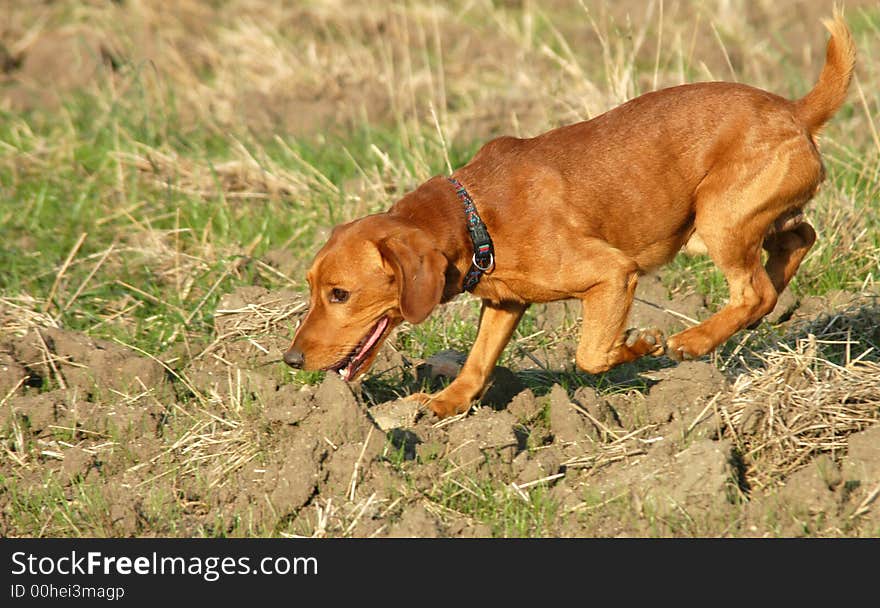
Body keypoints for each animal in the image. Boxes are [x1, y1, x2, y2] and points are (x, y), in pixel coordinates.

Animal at [286, 16, 856, 420]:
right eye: (312, 288)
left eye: (340, 294)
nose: (291, 361)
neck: (475, 217)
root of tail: (796, 110)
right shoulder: (505, 303)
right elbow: (478, 361)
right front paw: (446, 403)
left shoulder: (613, 274)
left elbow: (591, 354)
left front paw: (641, 345)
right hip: (742, 217)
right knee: (795, 245)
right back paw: (756, 314)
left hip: (720, 220)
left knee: (753, 289)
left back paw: (693, 340)